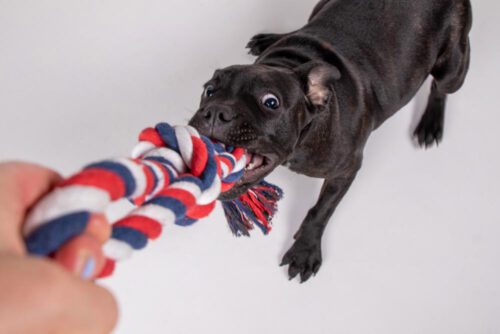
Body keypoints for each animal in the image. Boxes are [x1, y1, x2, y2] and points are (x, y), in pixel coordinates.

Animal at [189, 0, 470, 282]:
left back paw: (431, 123)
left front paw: (305, 250)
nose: (215, 112)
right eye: (208, 91)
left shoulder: (345, 170)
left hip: (453, 68)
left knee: (440, 88)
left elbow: (322, 209)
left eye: (270, 102)